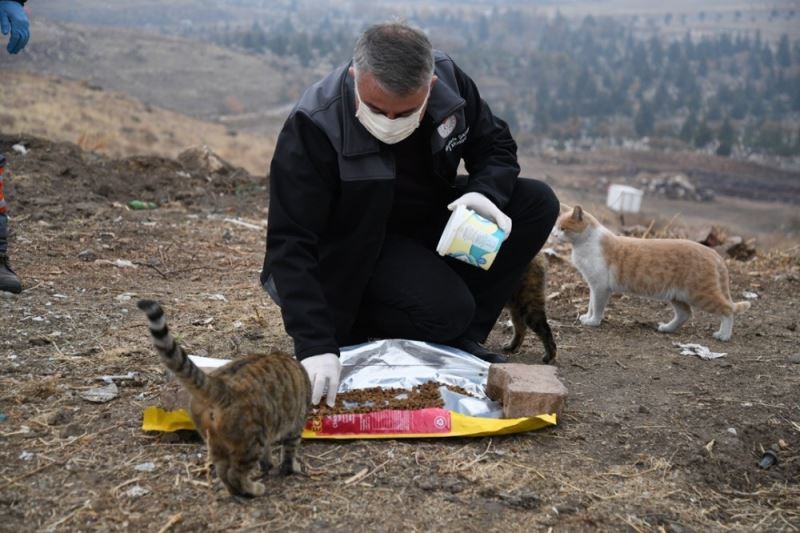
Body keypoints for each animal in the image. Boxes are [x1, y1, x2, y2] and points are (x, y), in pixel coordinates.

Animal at [138, 300, 312, 494]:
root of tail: (219, 385)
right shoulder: (295, 426)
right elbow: (288, 452)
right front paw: (289, 469)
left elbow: (268, 454)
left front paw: (268, 466)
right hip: (252, 441)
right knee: (235, 474)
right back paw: (253, 490)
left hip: (216, 441)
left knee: (223, 471)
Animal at [556, 204, 752, 340]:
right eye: (557, 227)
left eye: (563, 228)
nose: (554, 235)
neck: (586, 243)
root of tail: (713, 253)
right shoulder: (593, 286)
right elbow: (590, 304)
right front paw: (587, 317)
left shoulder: (600, 287)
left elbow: (597, 307)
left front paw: (593, 322)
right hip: (677, 296)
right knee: (685, 314)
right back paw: (667, 328)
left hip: (701, 293)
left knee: (727, 310)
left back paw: (723, 335)